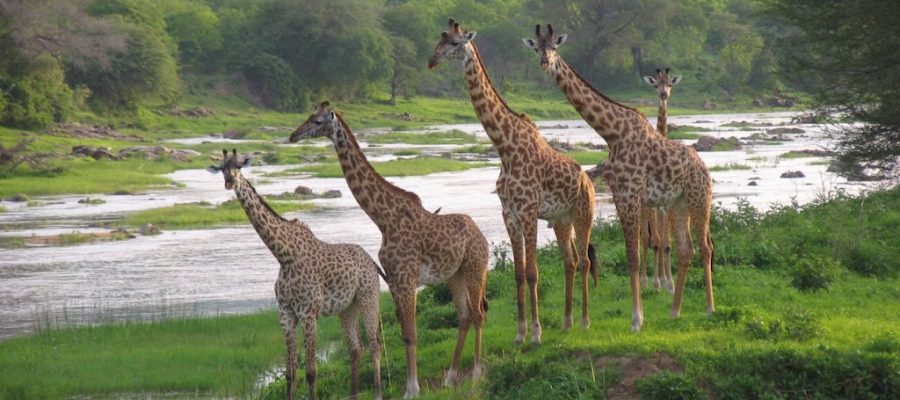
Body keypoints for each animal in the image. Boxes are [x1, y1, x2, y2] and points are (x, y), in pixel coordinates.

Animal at [208, 148, 384, 398]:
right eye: (222, 168)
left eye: (239, 167)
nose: (229, 181)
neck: (284, 255)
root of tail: (371, 261)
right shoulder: (285, 313)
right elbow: (290, 372)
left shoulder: (309, 313)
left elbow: (310, 371)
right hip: (347, 308)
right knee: (355, 348)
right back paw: (352, 394)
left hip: (369, 297)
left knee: (374, 345)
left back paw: (378, 392)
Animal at [288, 104, 488, 398]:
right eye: (308, 117)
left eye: (317, 121)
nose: (293, 135)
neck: (383, 219)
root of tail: (481, 234)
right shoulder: (393, 280)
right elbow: (405, 334)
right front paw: (410, 386)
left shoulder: (406, 279)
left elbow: (412, 334)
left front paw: (412, 389)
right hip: (455, 275)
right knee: (464, 316)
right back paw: (450, 379)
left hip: (476, 267)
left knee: (478, 314)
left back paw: (475, 375)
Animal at [428, 18, 596, 346]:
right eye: (438, 40)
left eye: (454, 43)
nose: (431, 60)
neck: (504, 146)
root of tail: (588, 180)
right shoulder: (509, 214)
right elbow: (518, 273)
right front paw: (520, 333)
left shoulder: (528, 211)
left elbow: (532, 272)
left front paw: (536, 333)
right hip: (562, 220)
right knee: (569, 261)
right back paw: (567, 322)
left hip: (584, 214)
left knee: (584, 261)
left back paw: (584, 322)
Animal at [524, 24, 712, 332]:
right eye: (537, 48)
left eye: (554, 47)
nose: (545, 62)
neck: (611, 133)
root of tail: (704, 167)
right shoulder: (619, 194)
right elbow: (632, 254)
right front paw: (640, 314)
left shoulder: (632, 193)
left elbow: (635, 254)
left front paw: (636, 320)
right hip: (677, 204)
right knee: (687, 250)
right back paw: (675, 311)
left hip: (699, 198)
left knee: (705, 247)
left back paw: (709, 308)